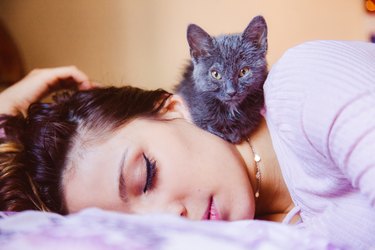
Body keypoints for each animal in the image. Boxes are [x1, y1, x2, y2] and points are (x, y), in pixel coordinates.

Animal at [175, 15, 268, 144]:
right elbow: (208, 126)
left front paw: (234, 134)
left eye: (243, 71)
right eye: (216, 74)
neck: (231, 109)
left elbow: (246, 126)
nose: (231, 92)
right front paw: (226, 134)